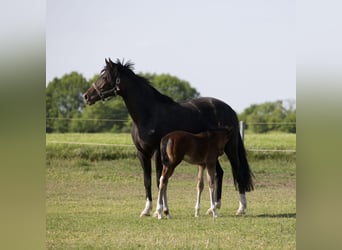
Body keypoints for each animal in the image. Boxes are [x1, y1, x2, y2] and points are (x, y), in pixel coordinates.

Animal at [83, 58, 254, 217]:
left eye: (104, 77)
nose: (86, 96)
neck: (148, 114)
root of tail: (229, 109)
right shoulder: (142, 153)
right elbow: (147, 181)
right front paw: (147, 210)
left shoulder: (158, 152)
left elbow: (160, 179)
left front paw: (161, 210)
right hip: (209, 153)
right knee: (219, 173)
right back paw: (213, 207)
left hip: (230, 148)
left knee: (238, 172)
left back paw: (241, 208)